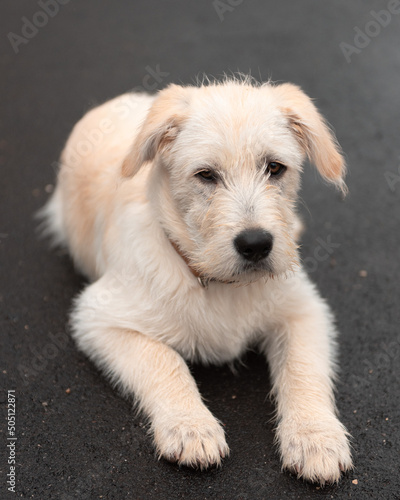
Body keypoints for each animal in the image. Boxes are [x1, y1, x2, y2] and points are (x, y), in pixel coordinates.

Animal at [39, 77, 354, 484]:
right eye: (206, 174)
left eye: (275, 168)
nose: (256, 244)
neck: (218, 283)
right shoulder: (100, 317)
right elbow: (164, 361)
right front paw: (191, 427)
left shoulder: (304, 311)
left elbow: (303, 369)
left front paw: (315, 437)